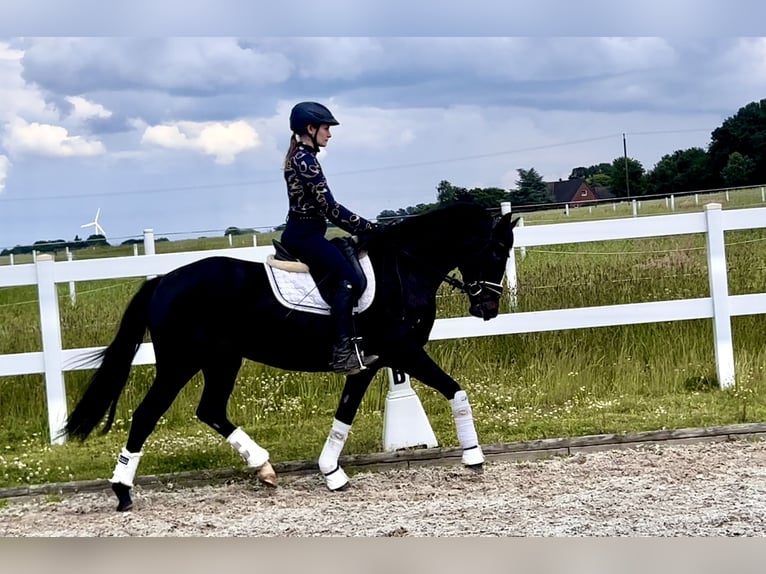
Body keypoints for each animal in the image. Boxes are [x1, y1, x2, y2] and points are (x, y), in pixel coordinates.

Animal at [63, 202, 520, 512]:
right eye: (497, 251)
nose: (487, 309)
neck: (404, 270)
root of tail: (162, 280)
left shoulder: (369, 362)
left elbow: (344, 415)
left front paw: (331, 472)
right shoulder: (402, 350)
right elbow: (456, 391)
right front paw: (473, 457)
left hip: (222, 360)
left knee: (210, 409)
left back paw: (263, 468)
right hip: (181, 363)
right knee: (147, 415)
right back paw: (123, 491)